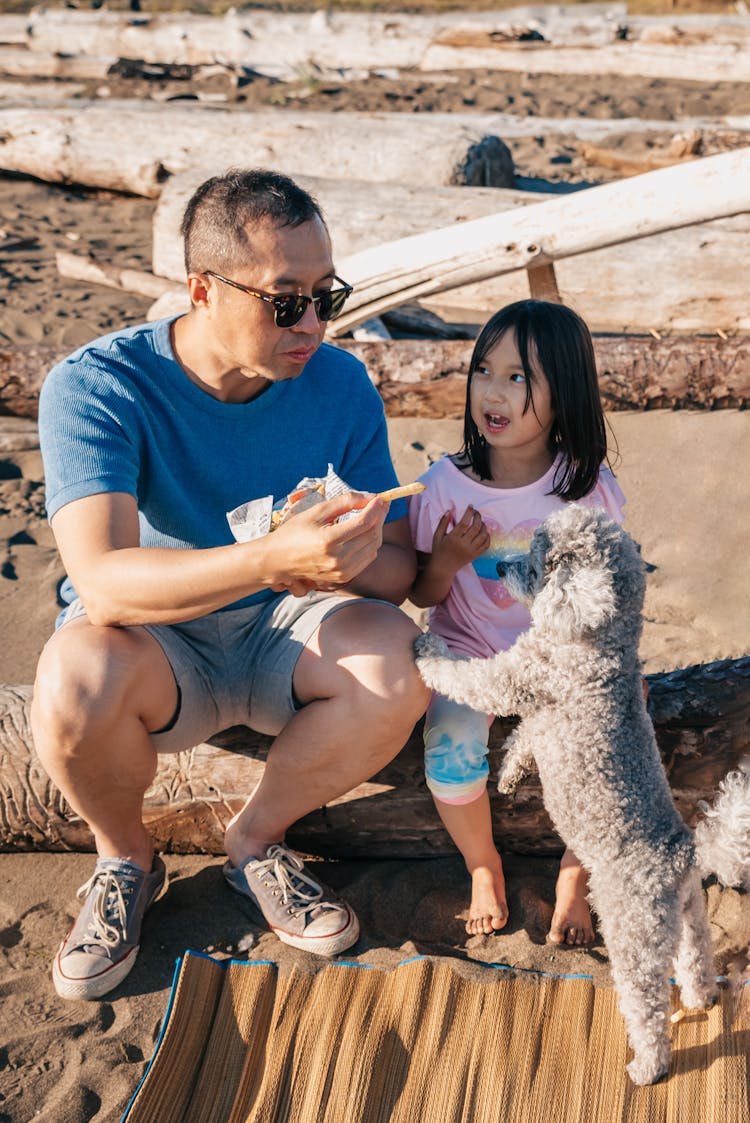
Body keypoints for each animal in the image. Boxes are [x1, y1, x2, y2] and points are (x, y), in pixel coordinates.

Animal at [415, 505, 750, 1082]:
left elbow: (469, 677)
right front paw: (510, 774)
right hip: (688, 913)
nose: (500, 566)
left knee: (647, 1007)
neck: (598, 643)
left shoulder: (515, 678)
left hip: (633, 932)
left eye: (540, 562)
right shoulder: (536, 707)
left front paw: (427, 650)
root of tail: (683, 852)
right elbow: (526, 735)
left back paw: (647, 1066)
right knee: (696, 960)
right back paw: (701, 997)